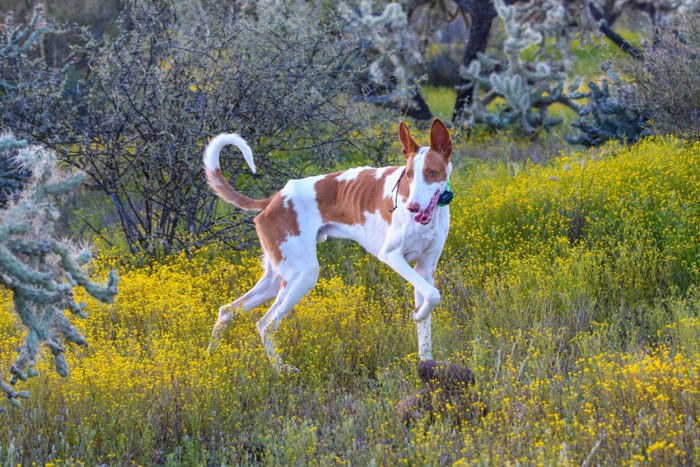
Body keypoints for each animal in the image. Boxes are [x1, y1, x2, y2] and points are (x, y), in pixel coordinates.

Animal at [202, 119, 454, 372]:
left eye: (432, 173)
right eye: (409, 174)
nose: (412, 207)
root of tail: (272, 199)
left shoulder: (425, 268)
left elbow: (428, 311)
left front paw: (427, 362)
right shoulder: (391, 255)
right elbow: (433, 296)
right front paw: (418, 316)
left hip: (278, 277)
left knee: (227, 311)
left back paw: (210, 357)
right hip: (303, 274)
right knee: (266, 323)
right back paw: (282, 370)